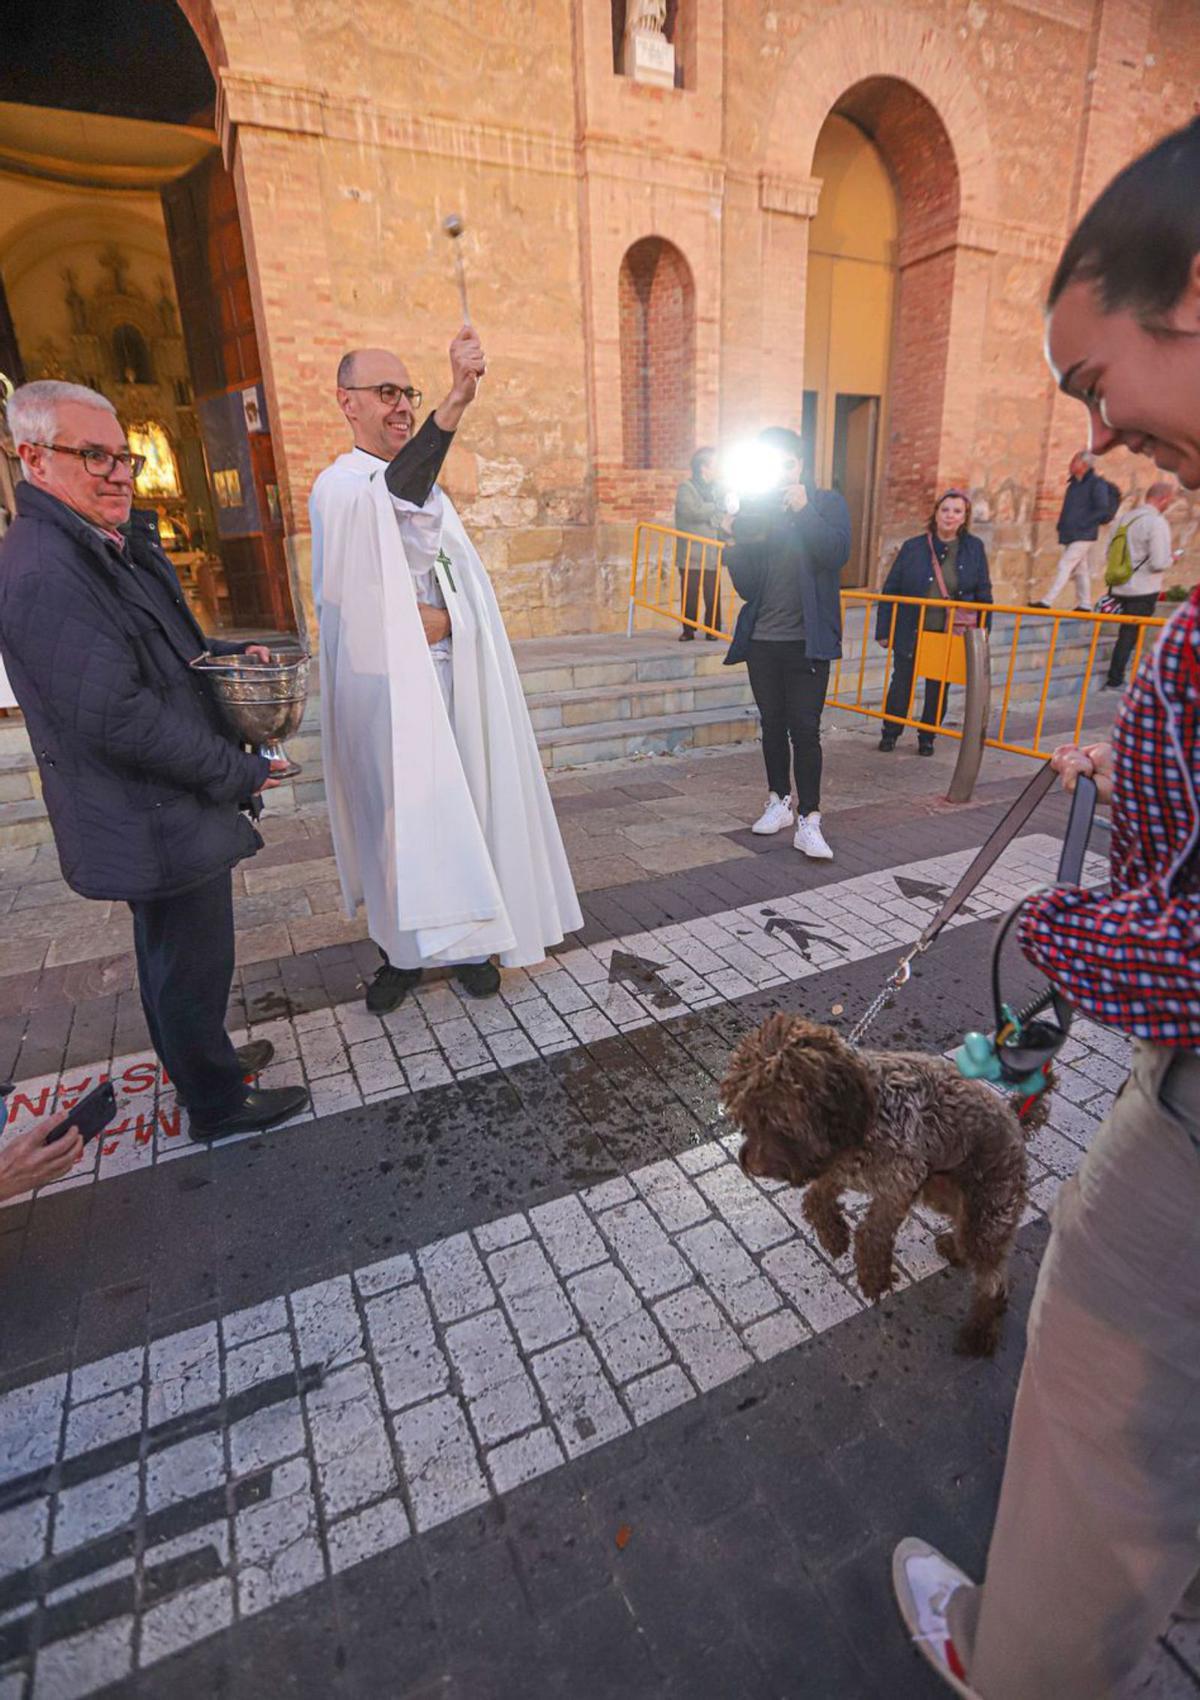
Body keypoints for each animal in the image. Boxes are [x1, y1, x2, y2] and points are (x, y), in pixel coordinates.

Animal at [720, 1006, 1040, 1353]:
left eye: (777, 1119)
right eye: (743, 1115)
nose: (751, 1165)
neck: (865, 1114)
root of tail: (1016, 1121)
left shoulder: (899, 1182)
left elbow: (872, 1231)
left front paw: (873, 1275)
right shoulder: (844, 1169)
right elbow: (816, 1197)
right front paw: (833, 1235)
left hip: (988, 1211)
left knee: (993, 1280)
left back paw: (980, 1333)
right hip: (942, 1191)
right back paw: (954, 1250)